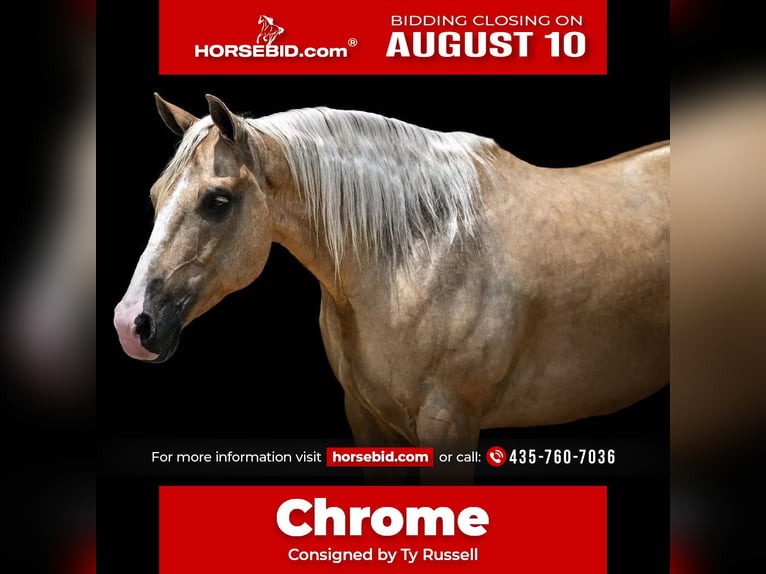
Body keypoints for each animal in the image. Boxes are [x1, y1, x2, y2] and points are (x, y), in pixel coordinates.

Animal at [113, 94, 669, 483]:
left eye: (217, 201)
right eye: (155, 195)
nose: (130, 324)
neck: (419, 252)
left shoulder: (450, 429)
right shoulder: (369, 423)